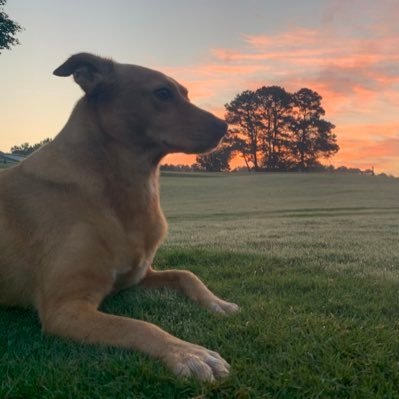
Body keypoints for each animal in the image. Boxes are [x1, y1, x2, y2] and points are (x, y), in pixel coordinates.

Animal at [0, 53, 239, 382]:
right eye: (162, 93)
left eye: (186, 93)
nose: (225, 126)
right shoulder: (64, 308)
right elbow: (137, 325)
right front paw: (188, 353)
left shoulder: (136, 276)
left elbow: (186, 273)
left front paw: (217, 302)